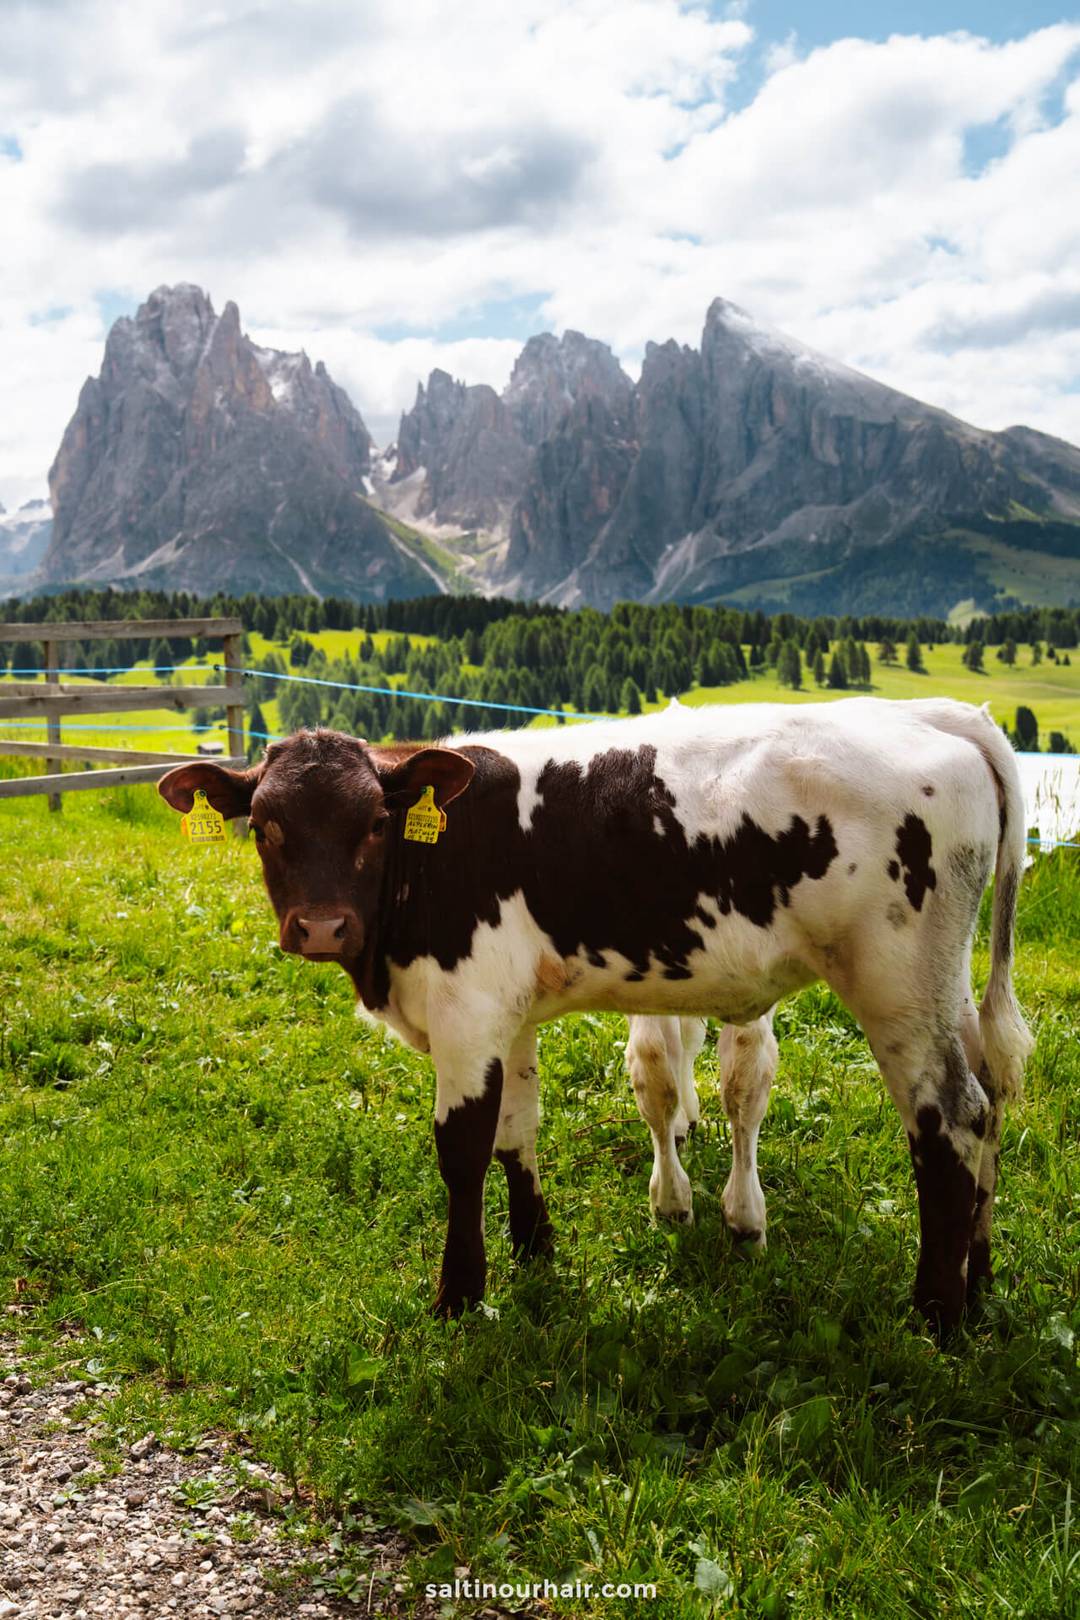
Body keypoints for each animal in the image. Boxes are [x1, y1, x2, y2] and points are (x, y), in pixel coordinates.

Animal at [158, 696, 1033, 1337]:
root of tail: (936, 714)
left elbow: (462, 1150)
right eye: (265, 826)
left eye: (375, 822)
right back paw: (981, 1280)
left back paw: (935, 1316)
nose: (320, 927)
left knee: (949, 1121)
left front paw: (459, 1295)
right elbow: (517, 1129)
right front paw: (534, 1248)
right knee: (988, 1101)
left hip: (896, 983)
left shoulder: (465, 1010)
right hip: (943, 985)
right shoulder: (508, 1014)